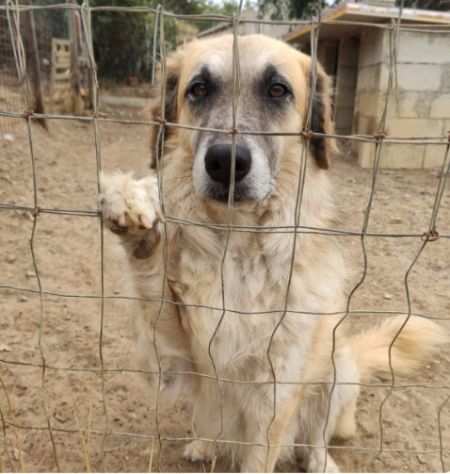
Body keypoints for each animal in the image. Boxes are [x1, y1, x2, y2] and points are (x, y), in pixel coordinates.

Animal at [98, 35, 446, 472]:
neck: (239, 247)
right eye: (199, 89)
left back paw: (320, 461)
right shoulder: (173, 359)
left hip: (338, 371)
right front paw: (133, 211)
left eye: (277, 90)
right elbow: (151, 286)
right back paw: (204, 445)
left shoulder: (274, 400)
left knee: (316, 436)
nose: (226, 162)